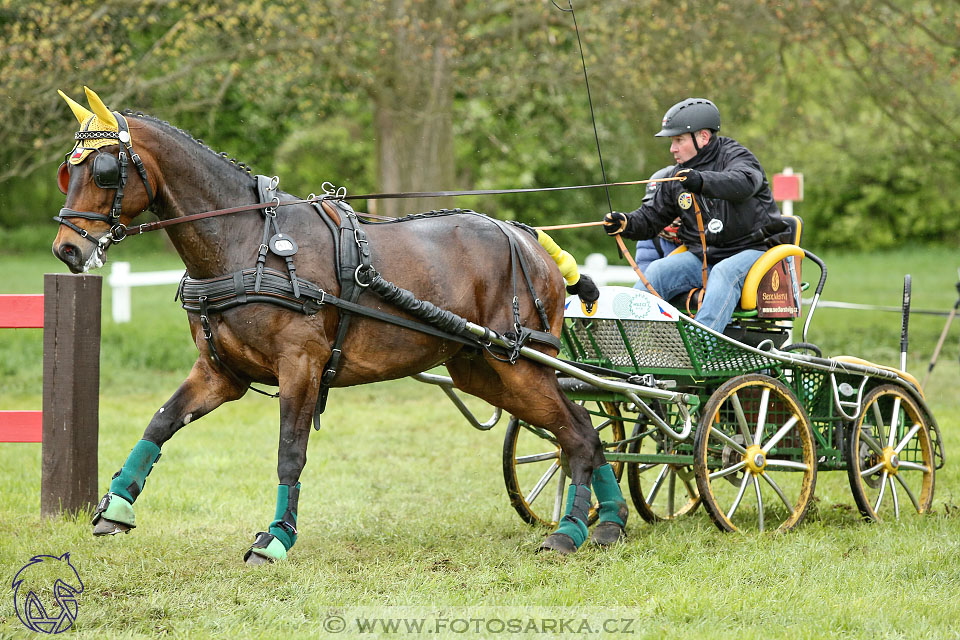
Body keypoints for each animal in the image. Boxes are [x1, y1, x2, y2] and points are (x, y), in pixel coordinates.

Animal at [52, 87, 628, 564]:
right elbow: (161, 422)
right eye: (67, 171)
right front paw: (115, 507)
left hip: (517, 363)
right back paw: (608, 522)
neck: (250, 243)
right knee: (583, 427)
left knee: (578, 432)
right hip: (482, 369)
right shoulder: (222, 373)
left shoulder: (301, 365)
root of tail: (533, 241)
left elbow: (290, 454)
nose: (67, 250)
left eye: (104, 171)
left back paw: (570, 531)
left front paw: (275, 538)